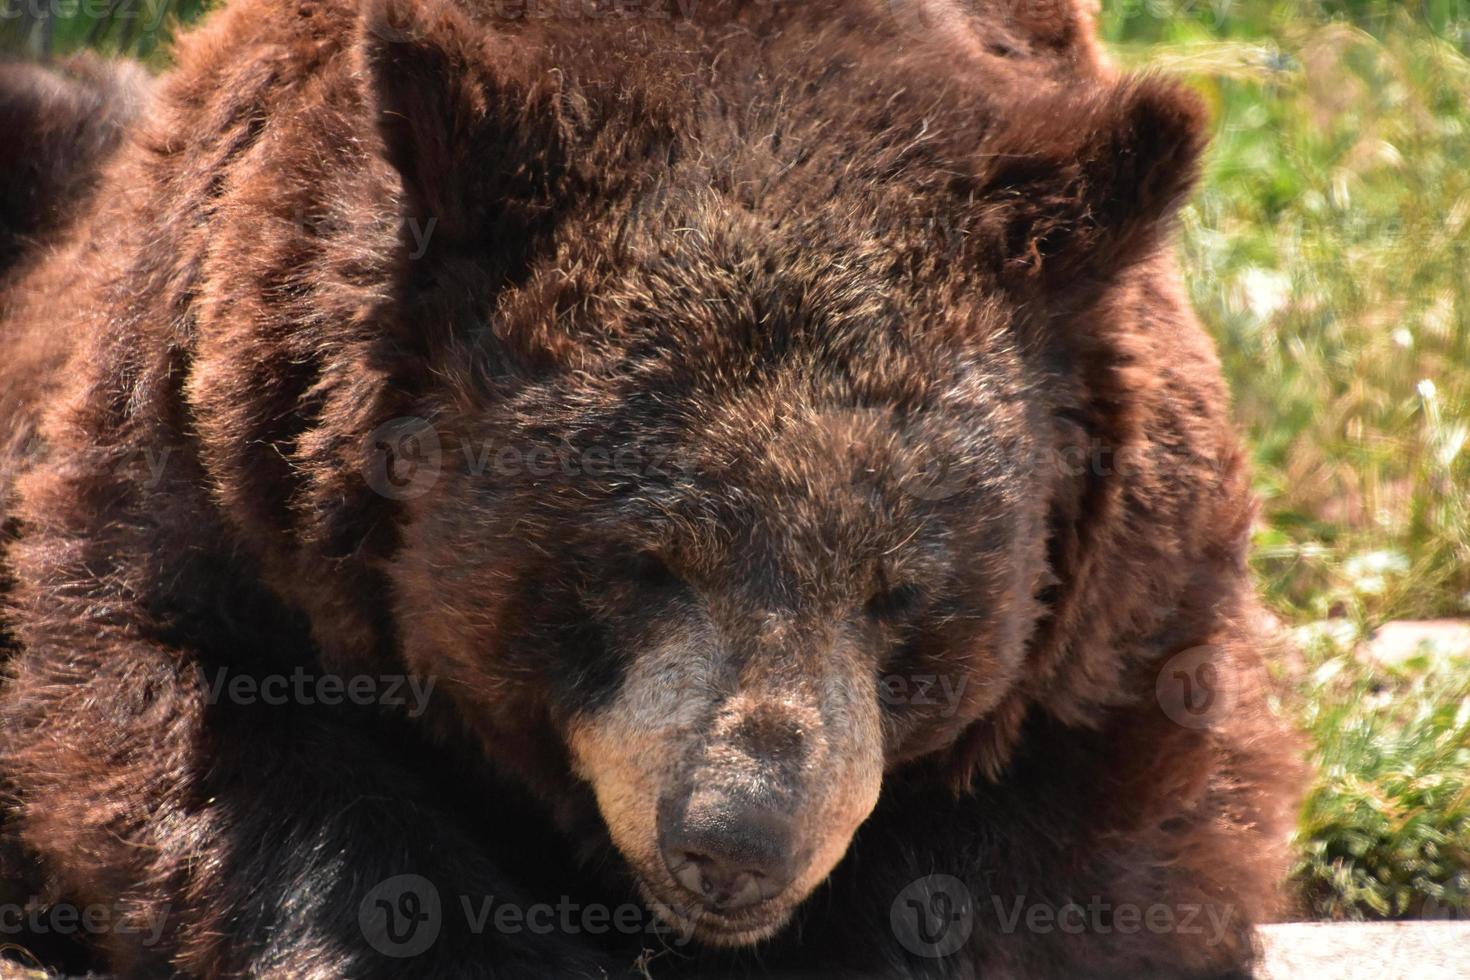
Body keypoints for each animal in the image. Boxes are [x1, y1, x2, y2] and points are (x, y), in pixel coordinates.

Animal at [2, 0, 1299, 975]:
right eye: (641, 558)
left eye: (903, 589)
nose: (739, 838)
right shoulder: (218, 468)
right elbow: (202, 741)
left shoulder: (1121, 594)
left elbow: (1097, 818)